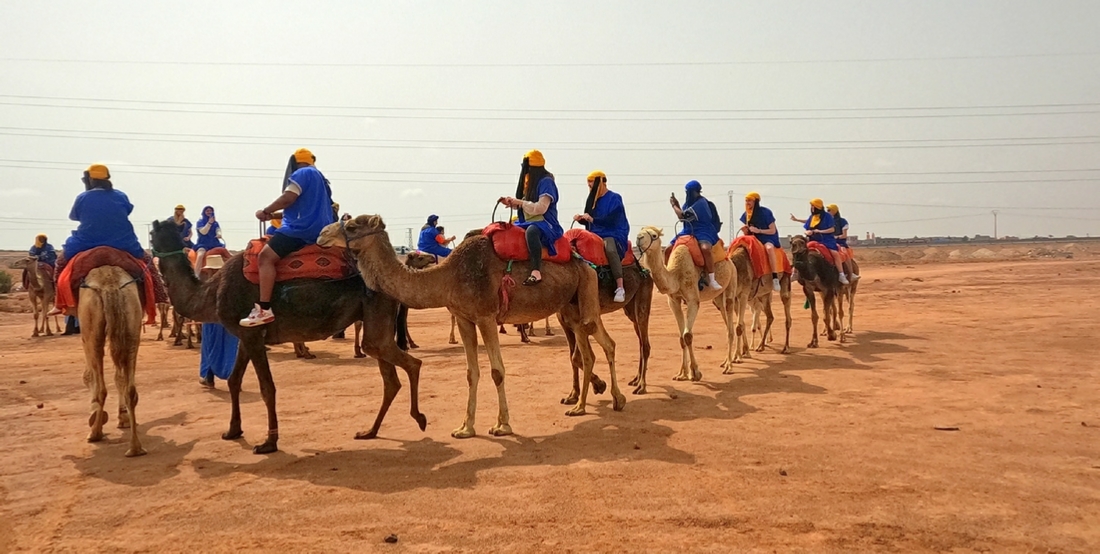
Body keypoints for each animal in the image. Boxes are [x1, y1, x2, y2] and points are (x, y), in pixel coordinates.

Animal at [79, 266, 146, 457]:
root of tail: (110, 286)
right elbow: (120, 379)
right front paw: (124, 418)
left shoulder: (85, 336)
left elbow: (88, 376)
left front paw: (95, 417)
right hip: (132, 323)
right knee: (130, 388)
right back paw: (135, 448)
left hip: (92, 326)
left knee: (102, 387)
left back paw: (95, 433)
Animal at [152, 218, 426, 452]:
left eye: (152, 235)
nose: (150, 259)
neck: (213, 290)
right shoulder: (246, 335)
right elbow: (234, 381)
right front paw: (232, 431)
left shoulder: (252, 336)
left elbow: (266, 388)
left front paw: (268, 442)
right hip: (376, 322)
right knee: (389, 378)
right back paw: (371, 430)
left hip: (377, 314)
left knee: (409, 364)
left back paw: (419, 418)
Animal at [321, 214, 624, 439]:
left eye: (351, 226)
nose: (322, 235)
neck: (449, 277)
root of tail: (583, 260)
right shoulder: (465, 318)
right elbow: (471, 372)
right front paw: (465, 428)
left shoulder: (486, 317)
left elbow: (497, 371)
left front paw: (502, 425)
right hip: (570, 307)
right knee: (588, 351)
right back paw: (582, 406)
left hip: (586, 291)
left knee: (606, 342)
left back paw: (616, 399)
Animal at [633, 227, 734, 382]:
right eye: (641, 231)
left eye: (654, 235)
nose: (639, 238)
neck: (676, 274)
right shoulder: (674, 301)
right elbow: (681, 338)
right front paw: (682, 374)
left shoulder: (693, 300)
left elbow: (687, 336)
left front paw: (695, 373)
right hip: (718, 297)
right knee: (724, 316)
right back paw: (726, 362)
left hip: (732, 281)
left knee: (730, 320)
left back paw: (730, 365)